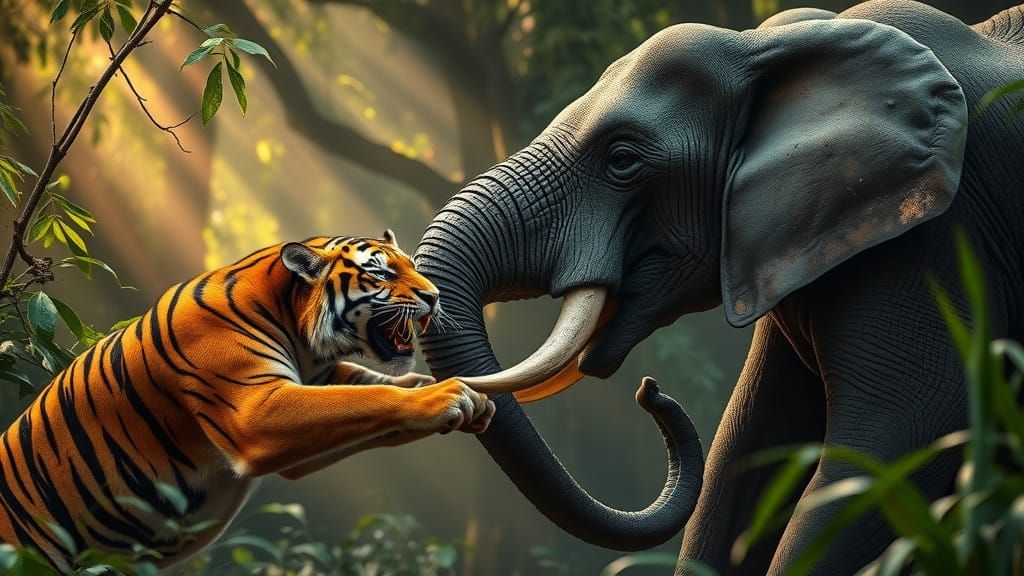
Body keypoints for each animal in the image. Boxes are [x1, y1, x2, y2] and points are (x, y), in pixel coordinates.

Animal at [0, 230, 494, 572]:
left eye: (410, 265)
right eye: (381, 273)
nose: (434, 296)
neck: (302, 336)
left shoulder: (321, 384)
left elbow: (373, 390)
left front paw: (463, 396)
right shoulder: (255, 411)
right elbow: (374, 395)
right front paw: (447, 394)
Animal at [413, 1, 1024, 573]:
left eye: (622, 158)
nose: (650, 391)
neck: (771, 46)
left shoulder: (935, 238)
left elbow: (898, 442)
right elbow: (749, 447)